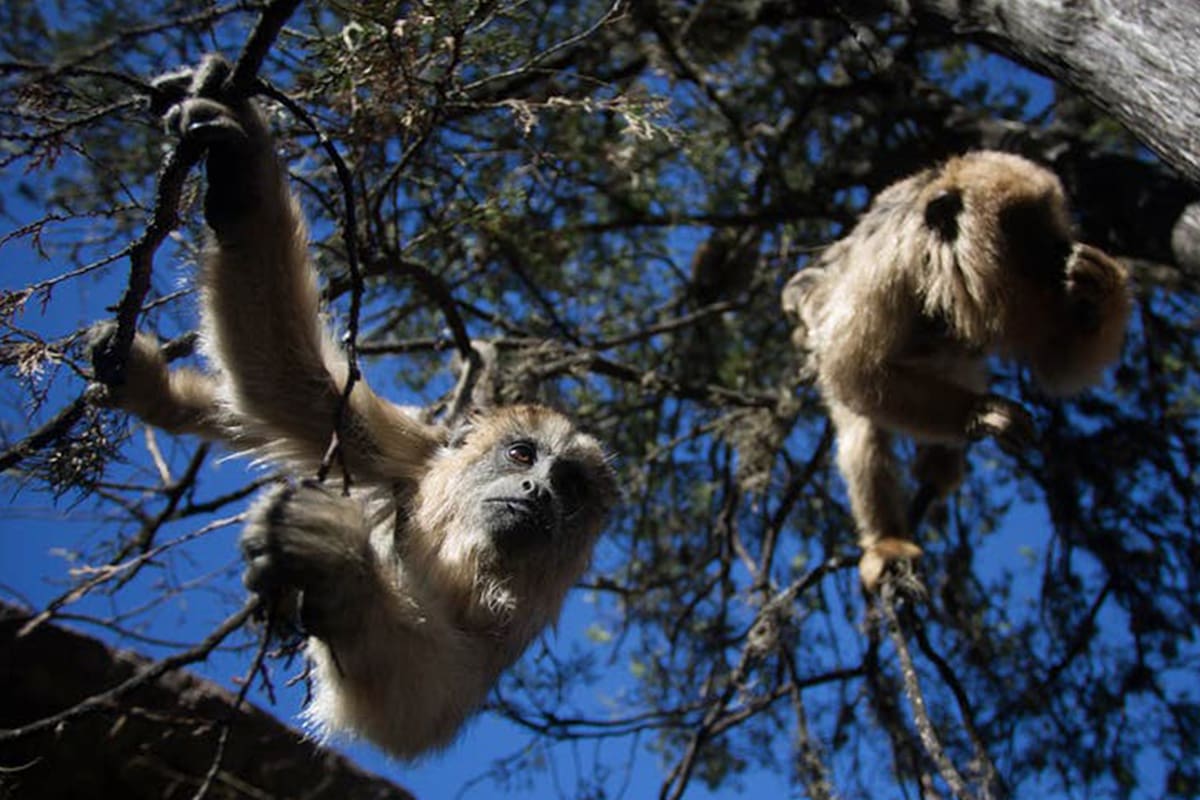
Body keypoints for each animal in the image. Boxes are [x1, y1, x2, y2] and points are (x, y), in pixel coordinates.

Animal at [89, 56, 618, 759]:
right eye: (521, 453)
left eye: (571, 488)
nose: (537, 490)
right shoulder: (417, 461)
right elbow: (288, 384)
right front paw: (238, 166)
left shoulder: (522, 614)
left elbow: (421, 707)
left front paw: (337, 567)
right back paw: (148, 384)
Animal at [781, 151, 1130, 591]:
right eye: (1028, 230)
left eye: (1051, 224)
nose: (1059, 249)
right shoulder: (887, 268)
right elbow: (853, 371)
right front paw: (980, 414)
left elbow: (1057, 366)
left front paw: (1100, 286)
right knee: (863, 431)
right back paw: (888, 542)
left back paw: (940, 466)